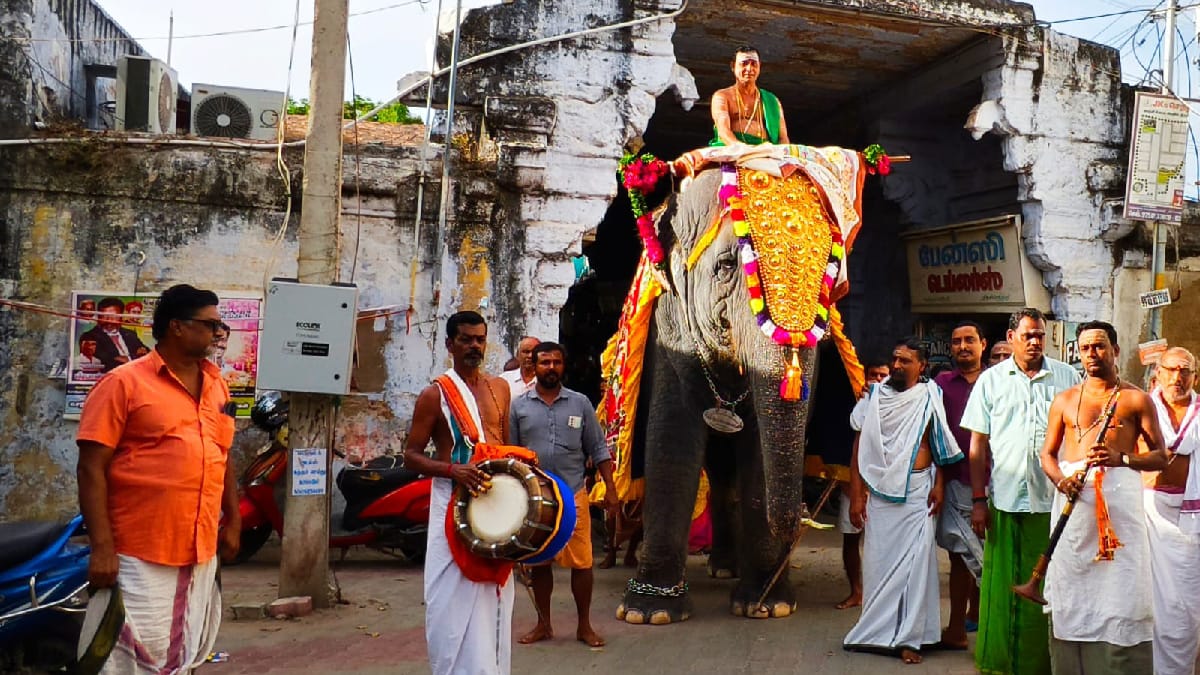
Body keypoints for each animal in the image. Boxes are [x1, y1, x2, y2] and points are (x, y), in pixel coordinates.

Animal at [600, 142, 883, 619]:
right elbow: (670, 437)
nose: (808, 511)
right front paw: (648, 612)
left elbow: (758, 448)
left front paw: (768, 606)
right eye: (728, 265)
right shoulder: (669, 326)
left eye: (831, 281)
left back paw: (730, 570)